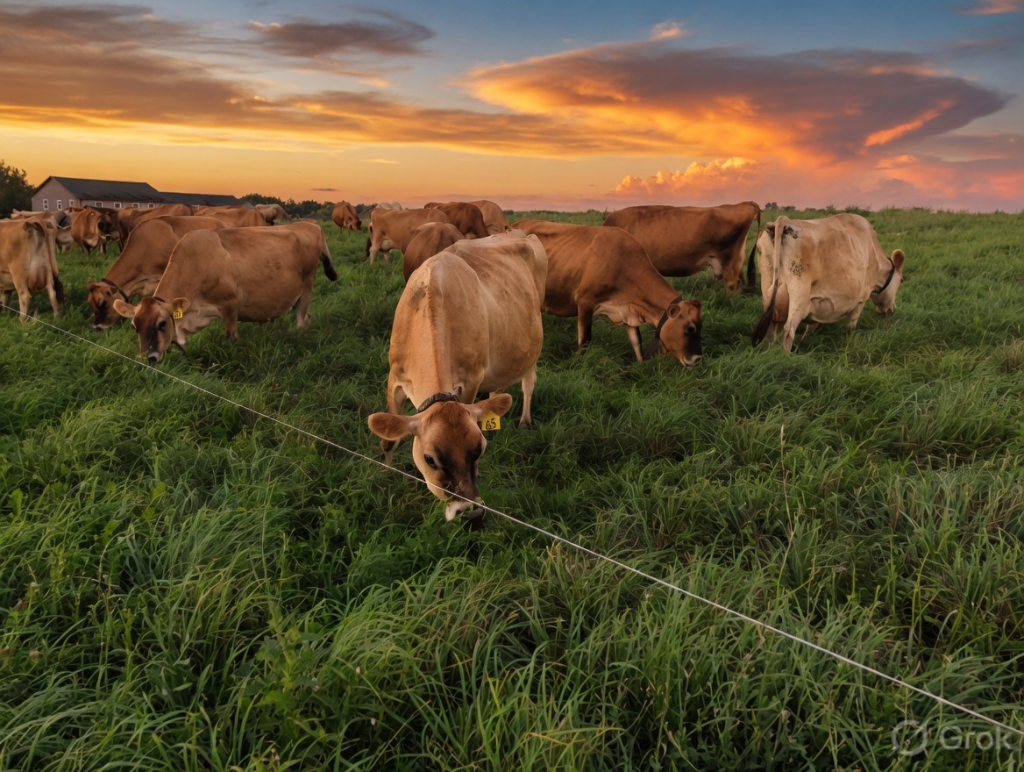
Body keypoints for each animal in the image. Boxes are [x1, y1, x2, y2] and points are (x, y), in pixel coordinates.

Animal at [113, 221, 337, 363]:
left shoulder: (231, 305)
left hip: (306, 288)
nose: (149, 357)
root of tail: (311, 225)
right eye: (134, 326)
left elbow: (231, 338)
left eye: (162, 324)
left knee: (302, 320)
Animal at [368, 231, 548, 523]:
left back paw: (525, 420)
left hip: (533, 345)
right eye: (430, 459)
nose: (469, 511)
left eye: (480, 449)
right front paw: (384, 473)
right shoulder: (394, 378)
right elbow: (389, 441)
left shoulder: (472, 377)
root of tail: (520, 232)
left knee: (528, 382)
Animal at [513, 219, 704, 365]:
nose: (697, 359)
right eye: (690, 329)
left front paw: (640, 366)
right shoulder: (585, 301)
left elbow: (637, 342)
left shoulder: (628, 310)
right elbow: (585, 342)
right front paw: (579, 366)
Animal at [751, 213, 906, 352]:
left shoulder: (815, 302)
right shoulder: (861, 300)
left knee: (772, 328)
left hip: (768, 290)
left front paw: (804, 341)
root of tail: (783, 221)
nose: (892, 309)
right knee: (789, 329)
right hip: (799, 293)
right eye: (901, 280)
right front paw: (850, 343)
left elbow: (810, 327)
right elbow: (851, 327)